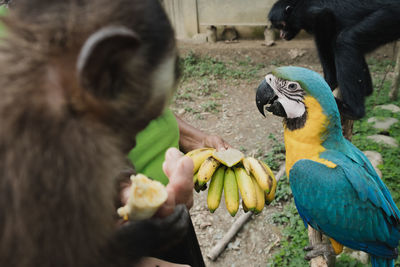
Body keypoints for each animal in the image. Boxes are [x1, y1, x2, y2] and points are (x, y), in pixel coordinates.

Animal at [268, 0, 400, 119]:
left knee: (345, 41)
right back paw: (367, 90)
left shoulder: (312, 14)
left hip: (389, 15)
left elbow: (325, 19)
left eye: (282, 25)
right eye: (279, 27)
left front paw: (328, 82)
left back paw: (353, 110)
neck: (300, 4)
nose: (282, 35)